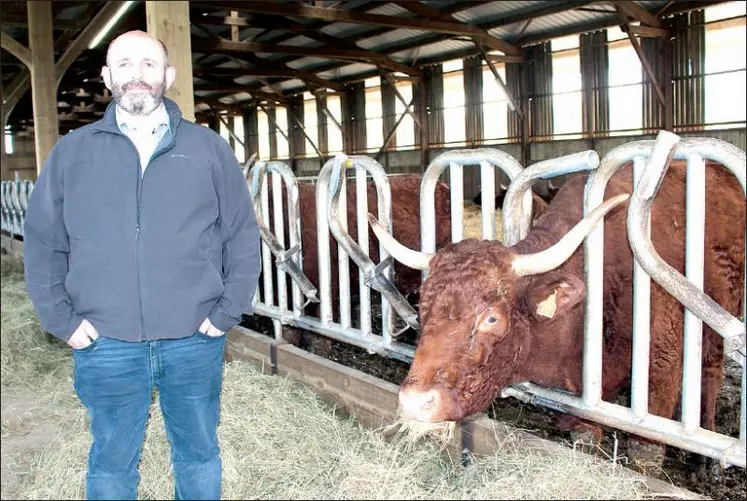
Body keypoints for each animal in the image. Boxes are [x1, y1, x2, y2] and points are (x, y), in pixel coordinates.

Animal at [372, 159, 744, 464]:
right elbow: (585, 437)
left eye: (491, 317)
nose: (415, 402)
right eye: (422, 308)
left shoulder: (662, 368)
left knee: (711, 373)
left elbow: (645, 450)